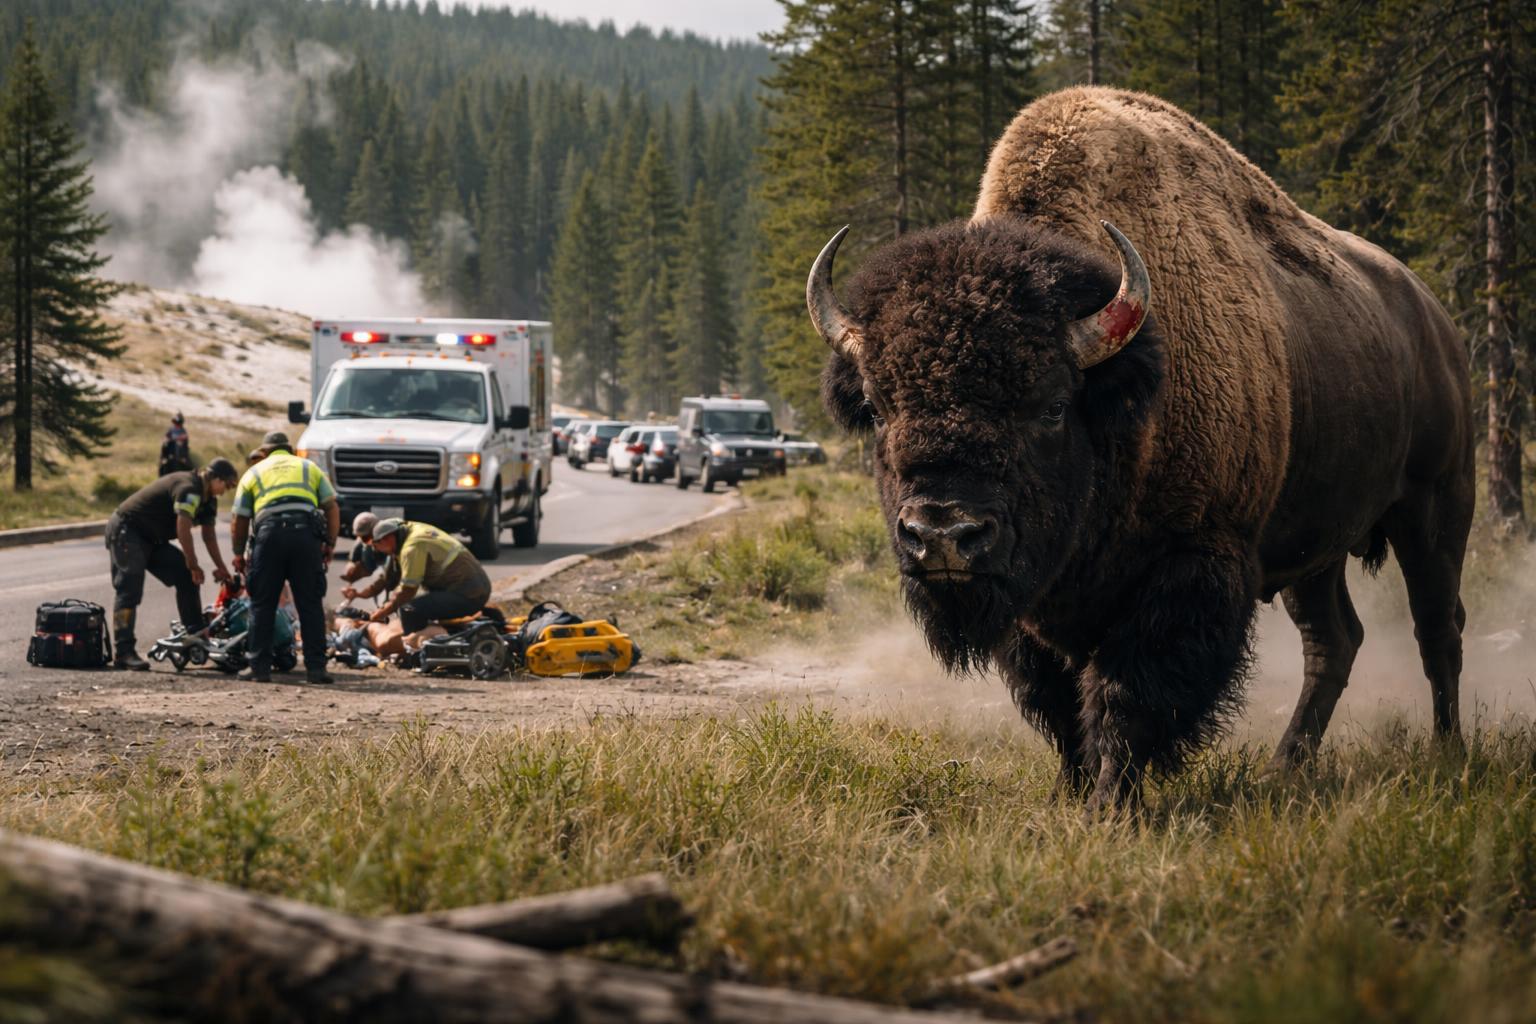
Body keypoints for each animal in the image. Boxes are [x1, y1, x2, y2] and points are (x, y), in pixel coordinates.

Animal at [807, 87, 1473, 810]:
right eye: (878, 409)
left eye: (1050, 406)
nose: (942, 536)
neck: (1119, 399)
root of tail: (1434, 318)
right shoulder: (1036, 606)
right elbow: (1058, 702)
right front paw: (1070, 795)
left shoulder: (1188, 566)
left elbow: (1126, 697)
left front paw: (1111, 806)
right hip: (1312, 548)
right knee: (1334, 641)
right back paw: (1284, 768)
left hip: (1435, 510)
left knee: (1438, 629)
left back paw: (1449, 755)